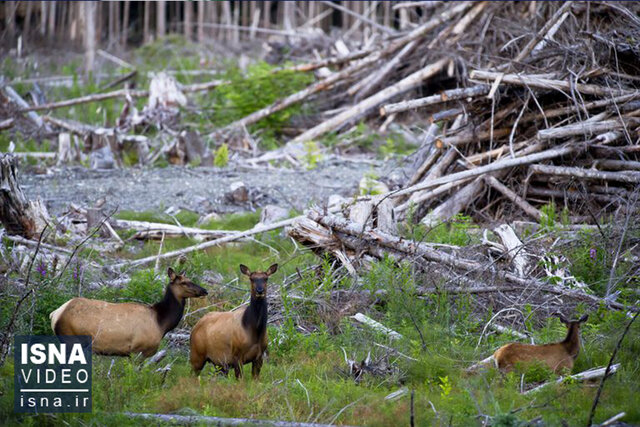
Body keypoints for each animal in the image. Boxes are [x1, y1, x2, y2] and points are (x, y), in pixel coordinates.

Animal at [49, 270, 206, 358]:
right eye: (184, 283)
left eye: (191, 280)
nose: (205, 290)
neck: (161, 322)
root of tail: (55, 313)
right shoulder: (139, 350)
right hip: (70, 339)